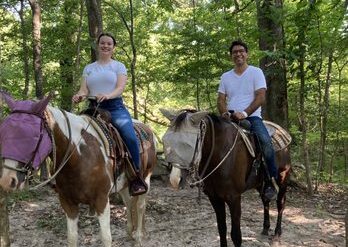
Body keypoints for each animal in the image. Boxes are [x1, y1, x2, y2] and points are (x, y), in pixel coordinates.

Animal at [0, 91, 156, 246]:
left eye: (35, 136)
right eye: (4, 132)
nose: (7, 180)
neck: (80, 156)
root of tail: (148, 130)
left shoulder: (102, 200)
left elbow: (106, 238)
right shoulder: (67, 202)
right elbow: (72, 237)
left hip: (145, 178)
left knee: (140, 205)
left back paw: (138, 237)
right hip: (124, 184)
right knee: (129, 203)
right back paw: (130, 232)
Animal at [160, 109, 290, 247]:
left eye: (187, 145)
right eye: (166, 141)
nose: (175, 180)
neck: (218, 152)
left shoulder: (234, 198)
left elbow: (236, 235)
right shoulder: (214, 197)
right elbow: (222, 229)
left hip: (283, 180)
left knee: (280, 204)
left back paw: (277, 235)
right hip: (260, 184)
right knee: (266, 201)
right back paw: (265, 229)